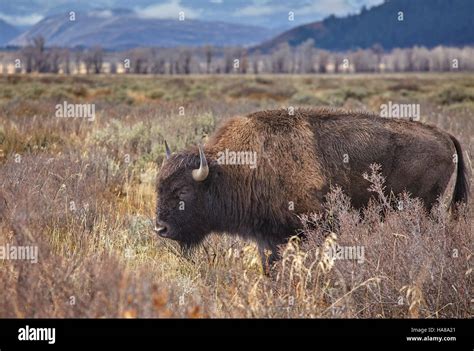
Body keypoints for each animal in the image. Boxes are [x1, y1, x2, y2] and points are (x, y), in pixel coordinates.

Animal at [156, 108, 470, 270]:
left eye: (182, 191)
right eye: (158, 187)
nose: (160, 228)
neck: (232, 169)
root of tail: (444, 135)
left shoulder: (311, 228)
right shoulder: (268, 237)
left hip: (424, 208)